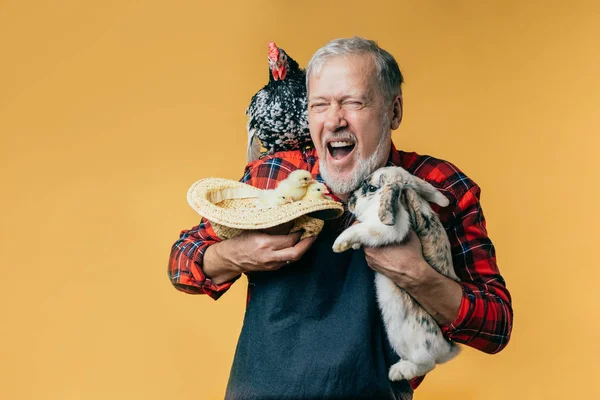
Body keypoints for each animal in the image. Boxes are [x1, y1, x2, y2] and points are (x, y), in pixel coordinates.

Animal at [330, 166, 462, 382]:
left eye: (372, 188)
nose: (350, 199)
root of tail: (445, 349)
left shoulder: (389, 229)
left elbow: (362, 228)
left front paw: (339, 244)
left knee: (426, 364)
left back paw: (397, 372)